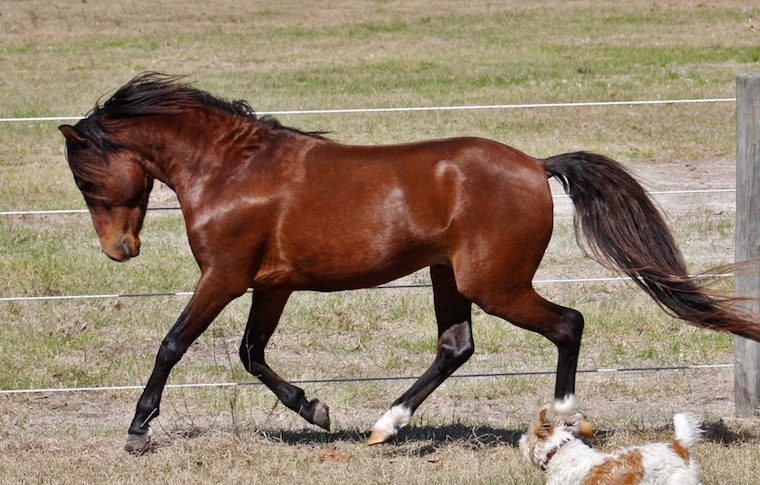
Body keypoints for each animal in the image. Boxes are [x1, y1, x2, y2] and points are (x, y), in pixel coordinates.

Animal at [58, 73, 760, 453]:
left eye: (87, 180)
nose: (119, 251)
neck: (233, 169)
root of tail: (536, 166)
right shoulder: (271, 286)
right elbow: (252, 355)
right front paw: (315, 410)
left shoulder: (225, 276)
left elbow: (172, 345)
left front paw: (137, 431)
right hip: (449, 277)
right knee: (456, 346)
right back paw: (384, 426)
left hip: (494, 282)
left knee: (568, 323)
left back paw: (562, 418)